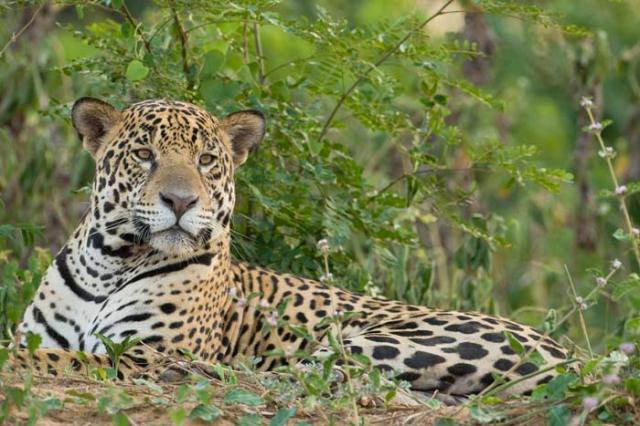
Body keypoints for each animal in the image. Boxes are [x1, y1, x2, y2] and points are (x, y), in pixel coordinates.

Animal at [12, 97, 569, 397]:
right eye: (145, 155)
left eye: (207, 160)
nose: (181, 200)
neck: (110, 262)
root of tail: (570, 353)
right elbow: (40, 350)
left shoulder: (145, 353)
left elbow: (63, 361)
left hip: (386, 339)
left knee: (292, 373)